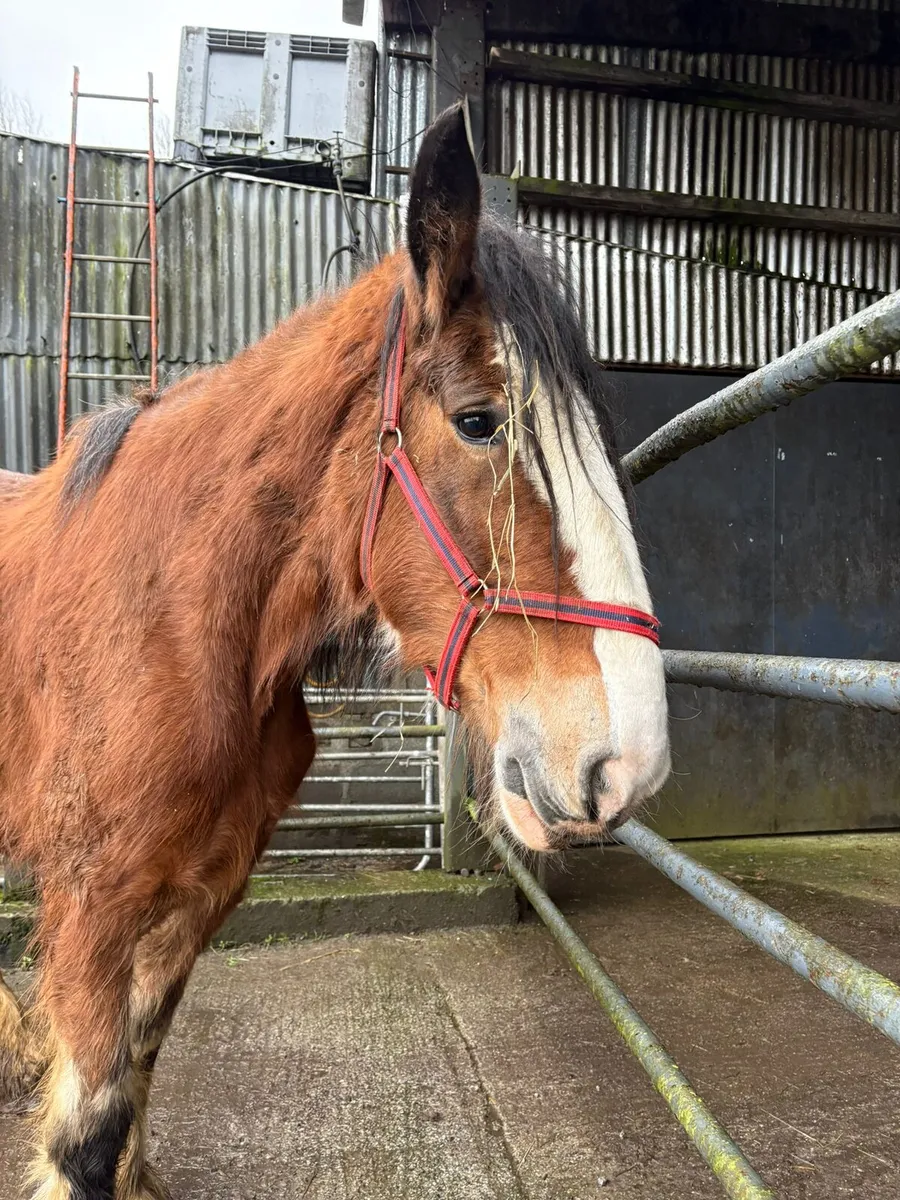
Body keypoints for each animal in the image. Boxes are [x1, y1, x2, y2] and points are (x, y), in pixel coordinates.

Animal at [0, 104, 670, 1199]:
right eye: (479, 422)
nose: (629, 765)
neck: (176, 624)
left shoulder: (202, 891)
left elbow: (135, 1082)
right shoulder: (95, 905)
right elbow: (88, 1132)